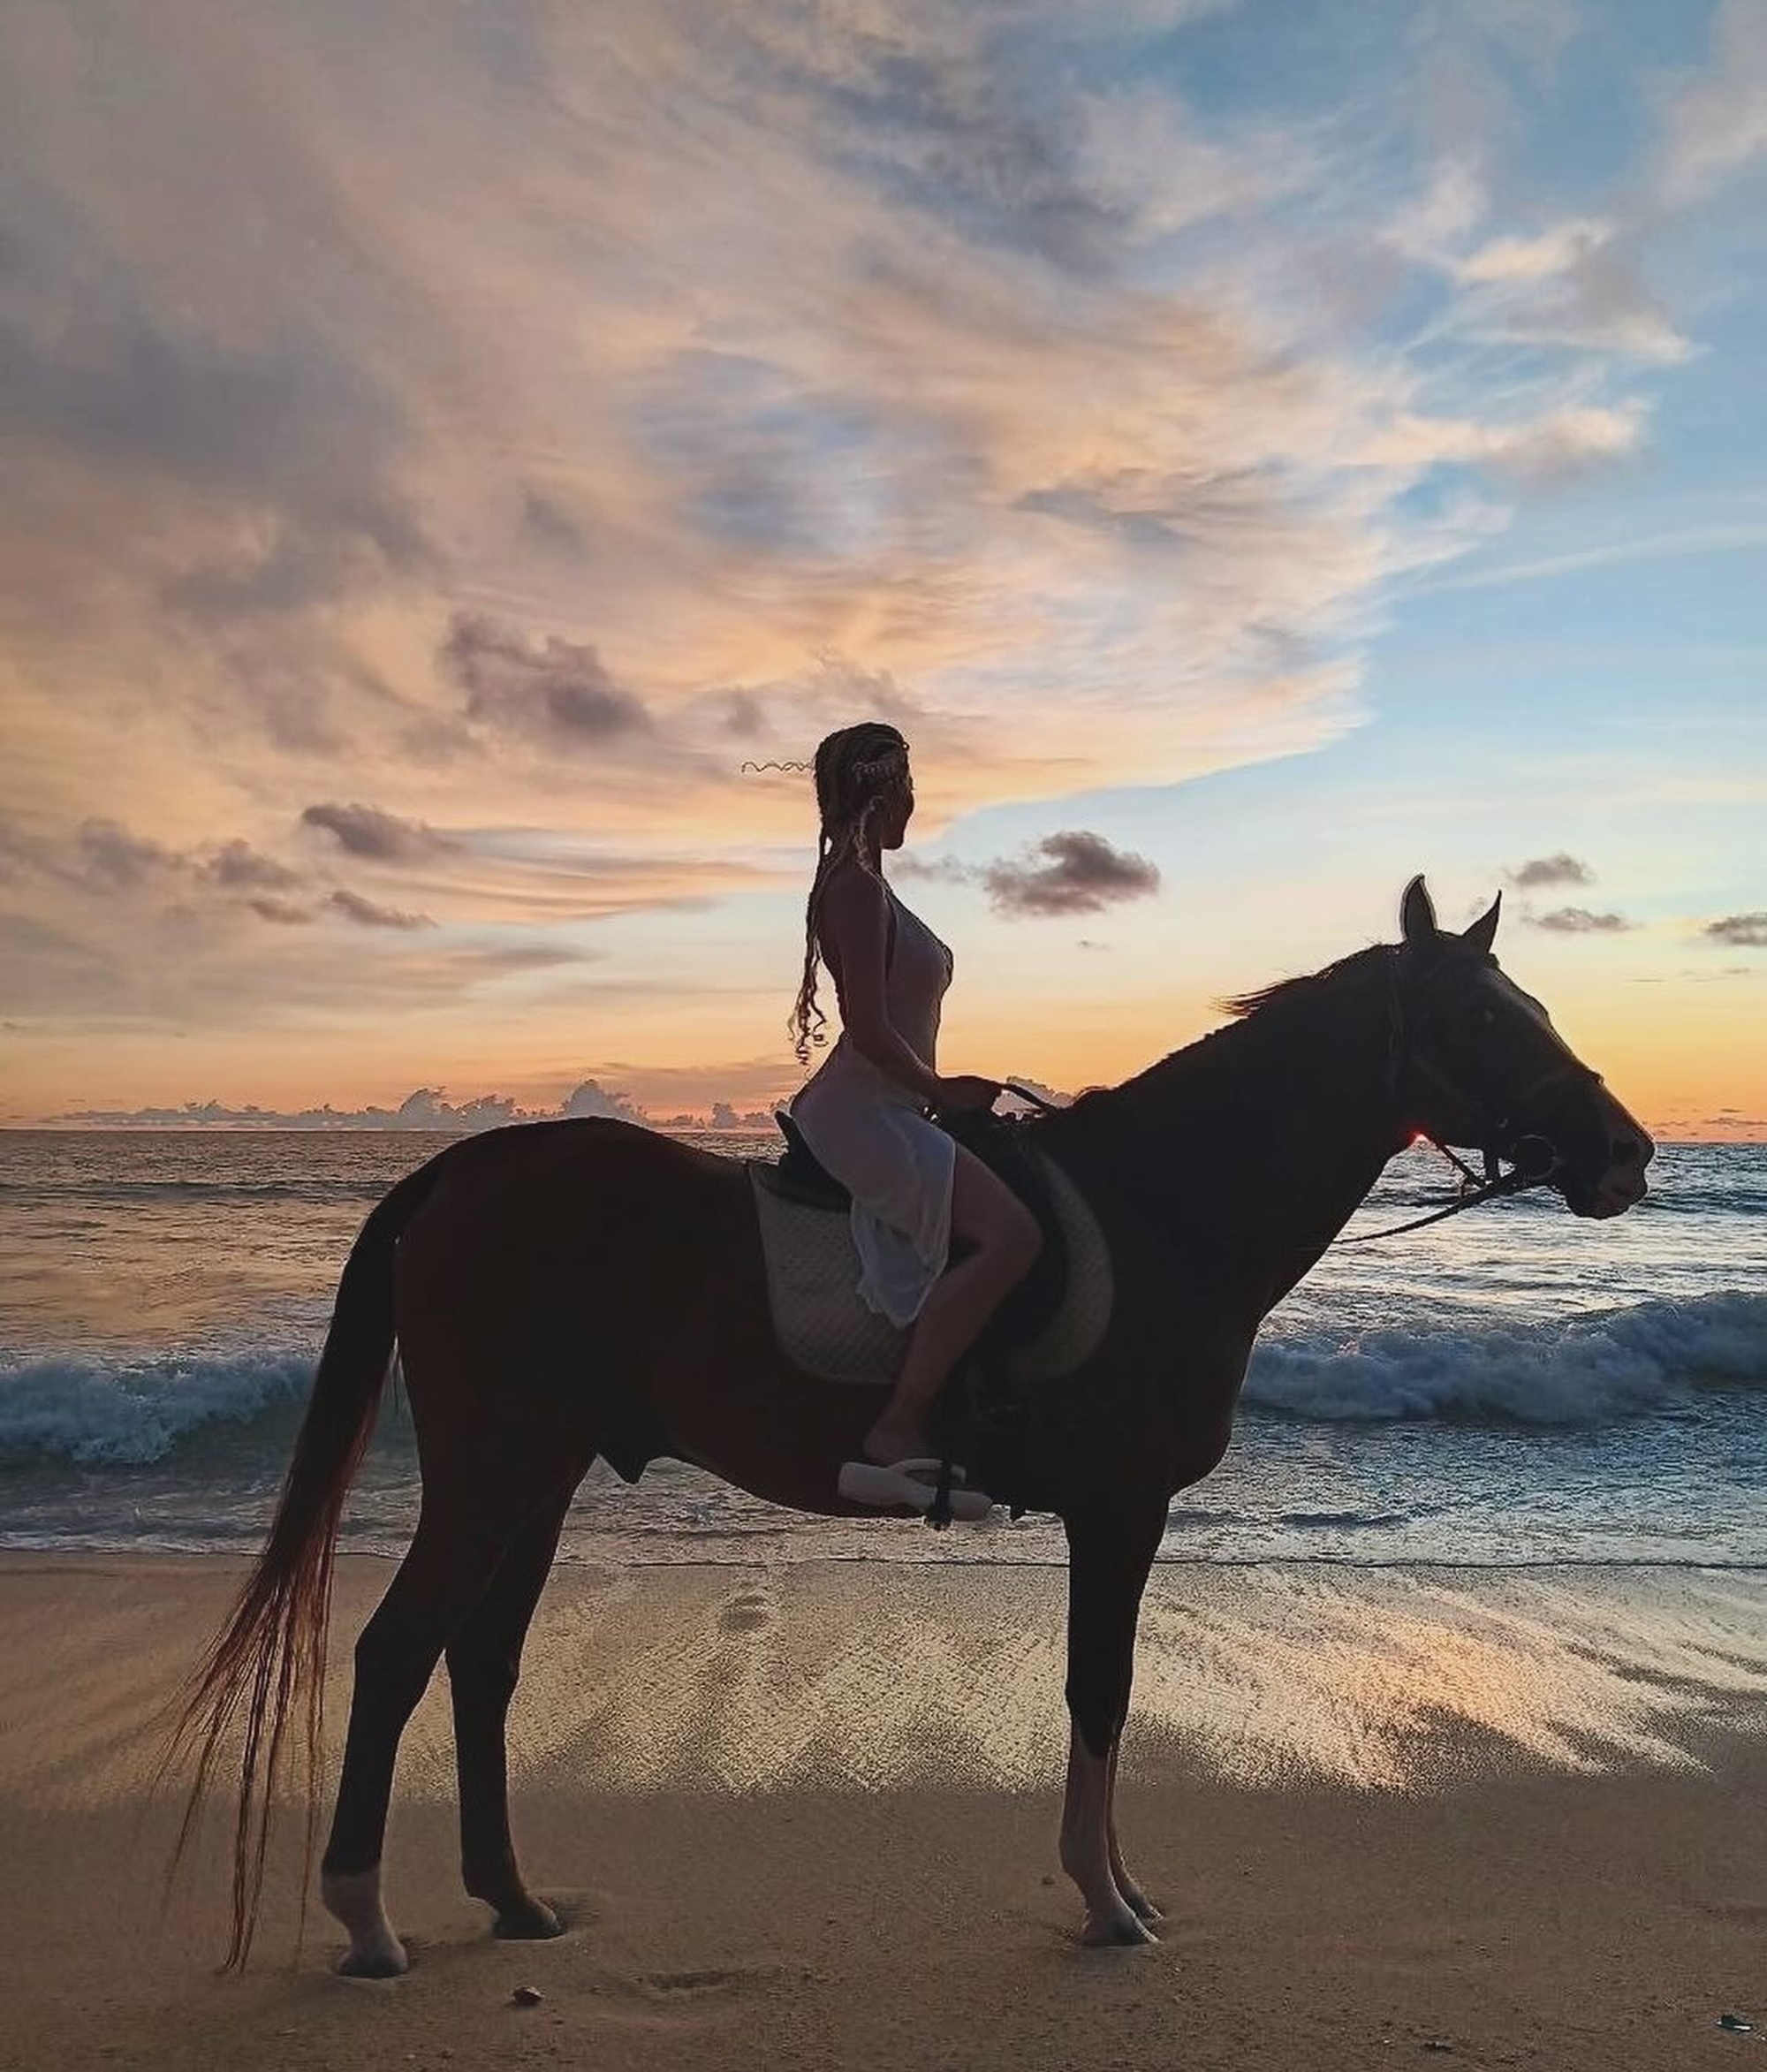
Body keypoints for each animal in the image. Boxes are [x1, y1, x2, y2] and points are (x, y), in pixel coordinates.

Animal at [174, 876, 1652, 1968]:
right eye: (1484, 1015)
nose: (1629, 1154)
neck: (1168, 1214)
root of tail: (473, 1165)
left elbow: (1106, 1696)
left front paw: (1121, 1890)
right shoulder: (1121, 1510)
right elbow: (1101, 1693)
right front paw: (1108, 1906)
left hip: (541, 1471)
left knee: (479, 1660)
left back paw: (516, 1902)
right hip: (497, 1466)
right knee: (395, 1652)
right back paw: (368, 1921)